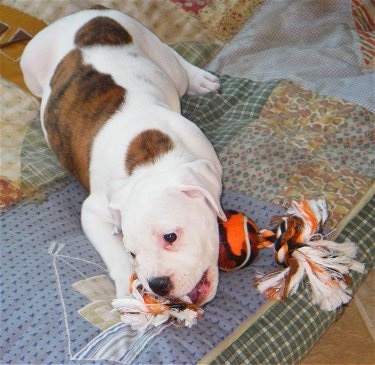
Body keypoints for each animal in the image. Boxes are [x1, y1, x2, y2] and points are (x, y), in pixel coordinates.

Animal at [22, 7, 228, 306]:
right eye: (132, 252)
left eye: (170, 236)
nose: (158, 284)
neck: (150, 158)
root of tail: (87, 12)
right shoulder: (94, 210)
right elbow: (112, 250)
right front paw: (126, 286)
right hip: (30, 66)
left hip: (158, 55)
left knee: (174, 59)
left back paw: (199, 78)